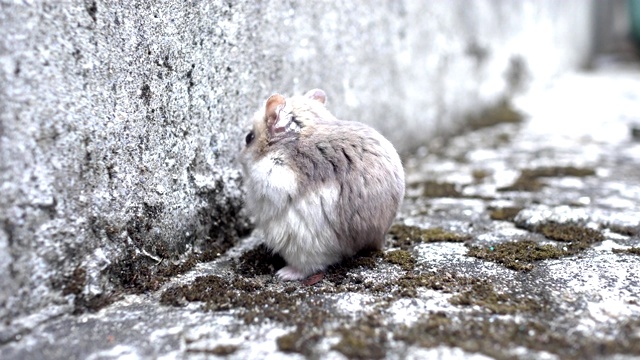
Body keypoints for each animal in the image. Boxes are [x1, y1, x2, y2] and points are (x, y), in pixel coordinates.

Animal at [240, 88, 404, 280]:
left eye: (249, 138)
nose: (239, 157)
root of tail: (374, 240)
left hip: (302, 238)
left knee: (312, 265)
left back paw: (284, 274)